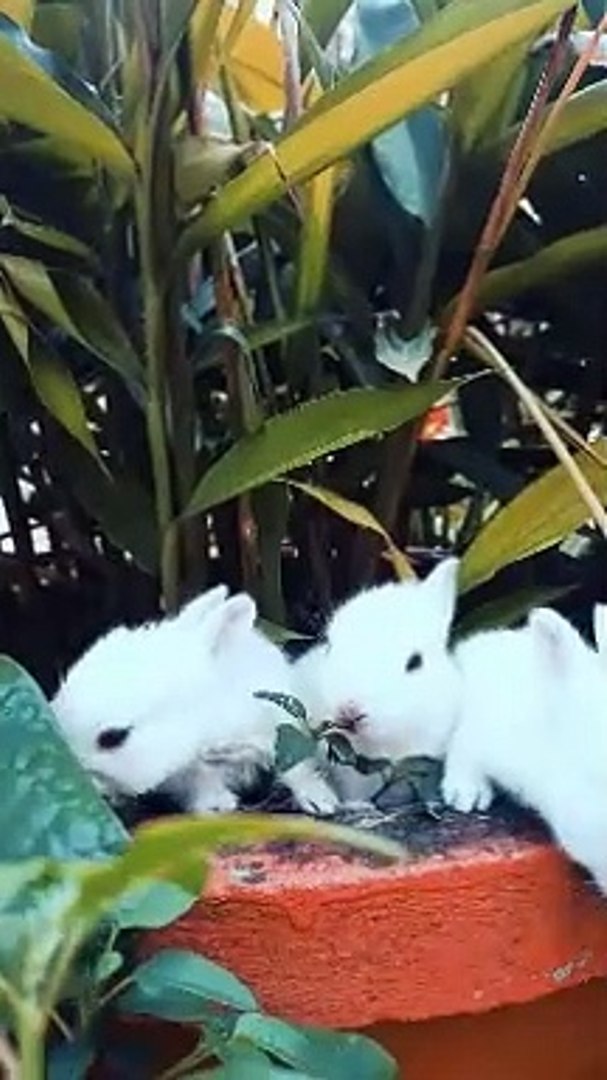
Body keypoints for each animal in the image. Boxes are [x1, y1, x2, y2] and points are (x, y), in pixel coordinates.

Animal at [53, 585, 339, 817]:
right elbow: (202, 782)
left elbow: (297, 770)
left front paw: (321, 802)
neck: (204, 719)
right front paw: (217, 805)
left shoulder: (279, 735)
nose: (80, 780)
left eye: (113, 737)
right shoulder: (189, 771)